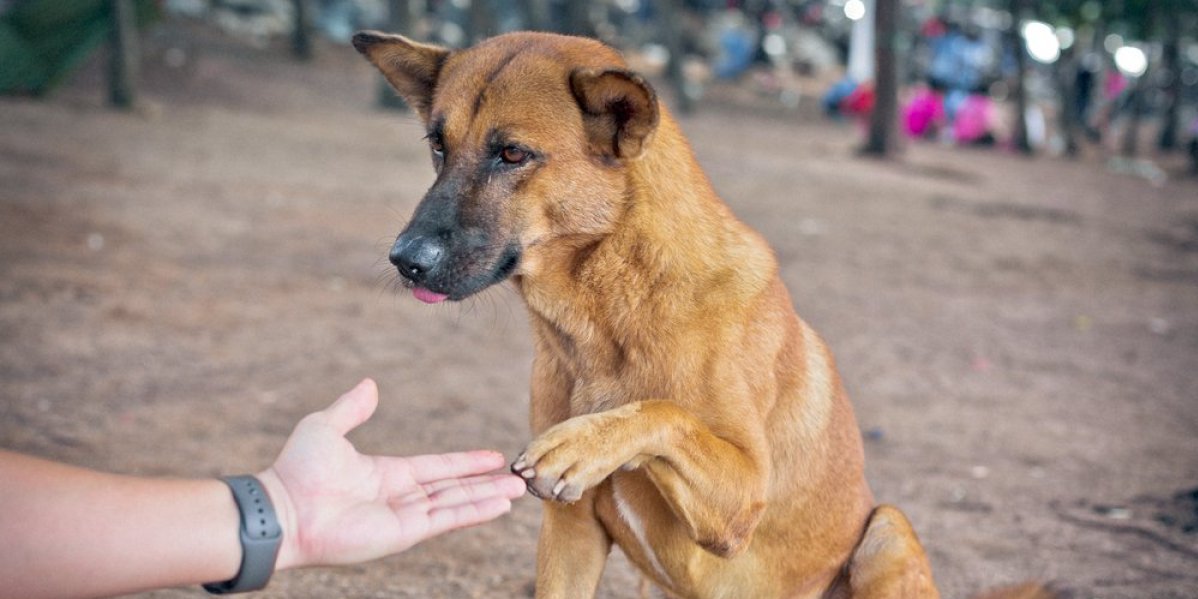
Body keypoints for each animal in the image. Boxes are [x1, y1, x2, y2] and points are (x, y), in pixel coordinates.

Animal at [349, 31, 1044, 599]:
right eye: (438, 146)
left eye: (513, 154)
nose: (404, 260)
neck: (606, 320)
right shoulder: (569, 533)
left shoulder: (741, 499)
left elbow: (665, 411)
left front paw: (585, 441)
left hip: (887, 529)